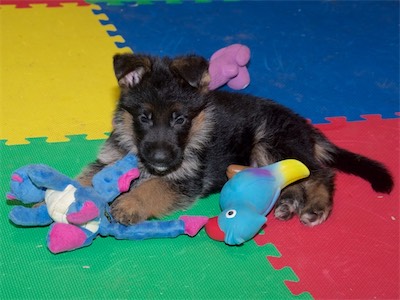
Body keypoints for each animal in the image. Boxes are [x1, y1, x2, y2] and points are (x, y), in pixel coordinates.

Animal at [78, 52, 394, 225]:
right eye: (144, 118)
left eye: (180, 119)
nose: (159, 160)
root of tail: (306, 126)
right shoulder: (109, 160)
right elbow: (86, 179)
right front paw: (69, 197)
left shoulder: (185, 180)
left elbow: (153, 188)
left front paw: (129, 203)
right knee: (296, 180)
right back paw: (288, 204)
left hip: (270, 142)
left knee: (321, 174)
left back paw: (316, 208)